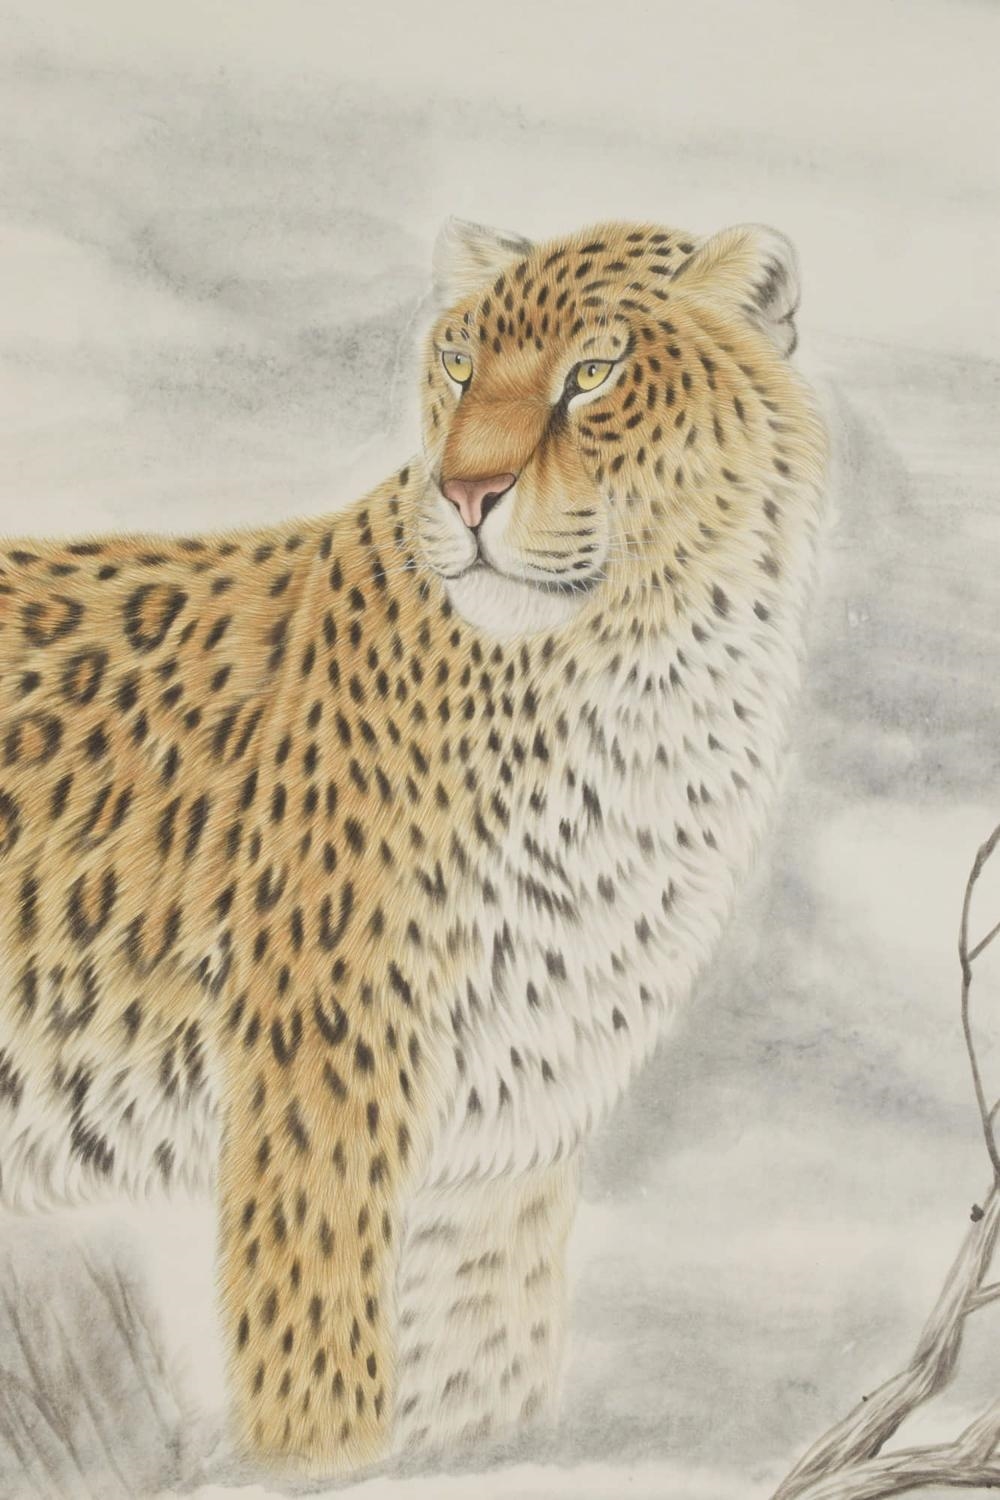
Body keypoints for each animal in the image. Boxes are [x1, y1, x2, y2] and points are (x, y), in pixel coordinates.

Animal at [0, 214, 827, 1479]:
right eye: (456, 363)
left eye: (593, 374)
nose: (468, 491)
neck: (639, 680)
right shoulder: (317, 1098)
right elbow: (318, 1375)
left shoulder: (502, 1149)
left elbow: (484, 1375)